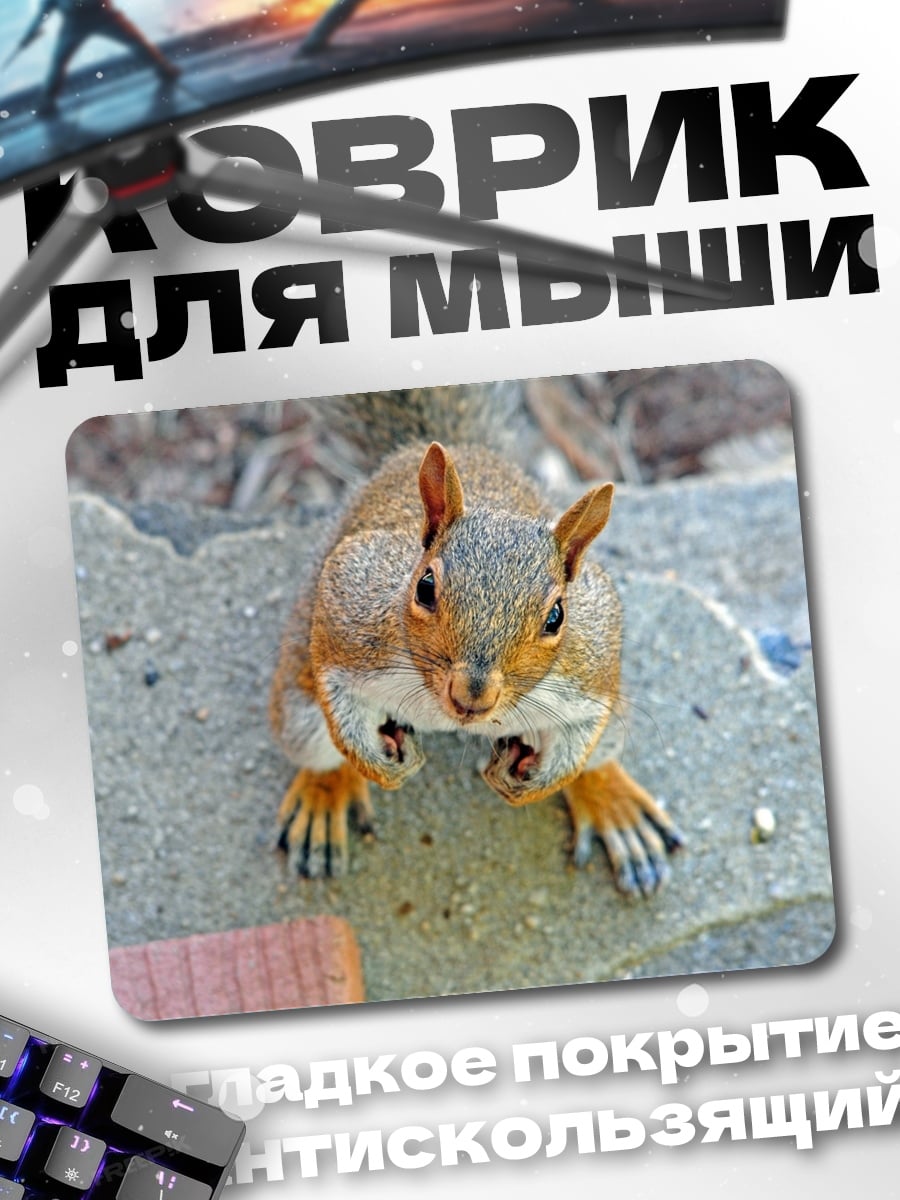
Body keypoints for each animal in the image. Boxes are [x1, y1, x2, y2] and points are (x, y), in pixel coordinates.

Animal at [269, 387, 683, 897]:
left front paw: (540, 783)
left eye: (557, 616)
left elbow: (583, 733)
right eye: (424, 587)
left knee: (600, 754)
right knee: (313, 742)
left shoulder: (591, 659)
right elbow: (336, 693)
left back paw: (615, 804)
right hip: (299, 704)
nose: (472, 697)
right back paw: (323, 793)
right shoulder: (349, 603)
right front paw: (374, 764)